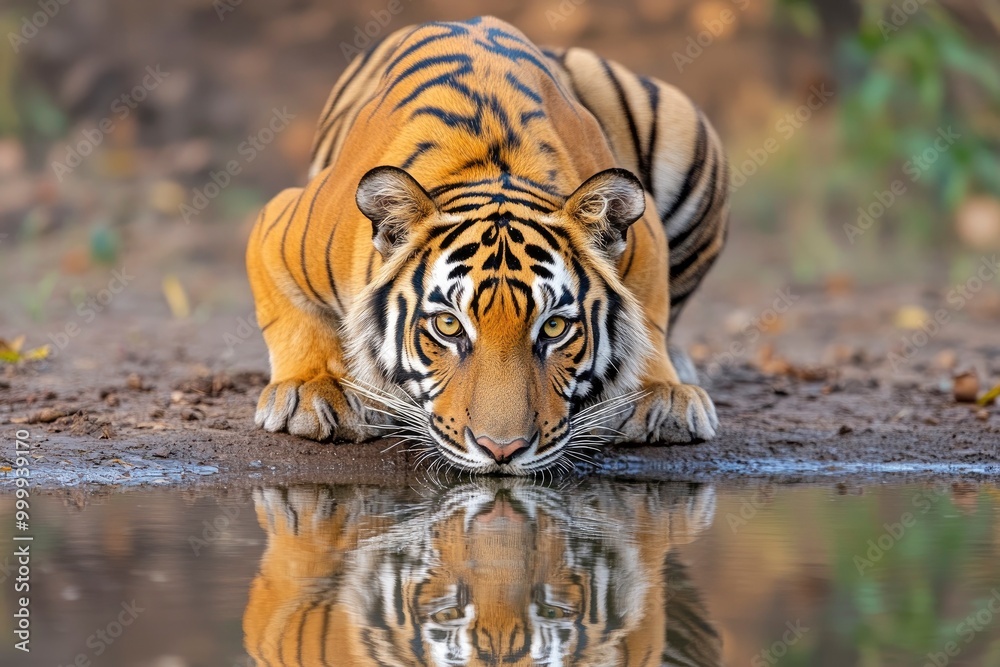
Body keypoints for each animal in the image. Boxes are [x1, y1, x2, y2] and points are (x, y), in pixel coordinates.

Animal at [246, 16, 729, 473]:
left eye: (554, 327)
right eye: (448, 326)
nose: (502, 450)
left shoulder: (646, 242)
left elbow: (649, 317)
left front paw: (663, 395)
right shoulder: (276, 226)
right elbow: (293, 317)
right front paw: (313, 390)